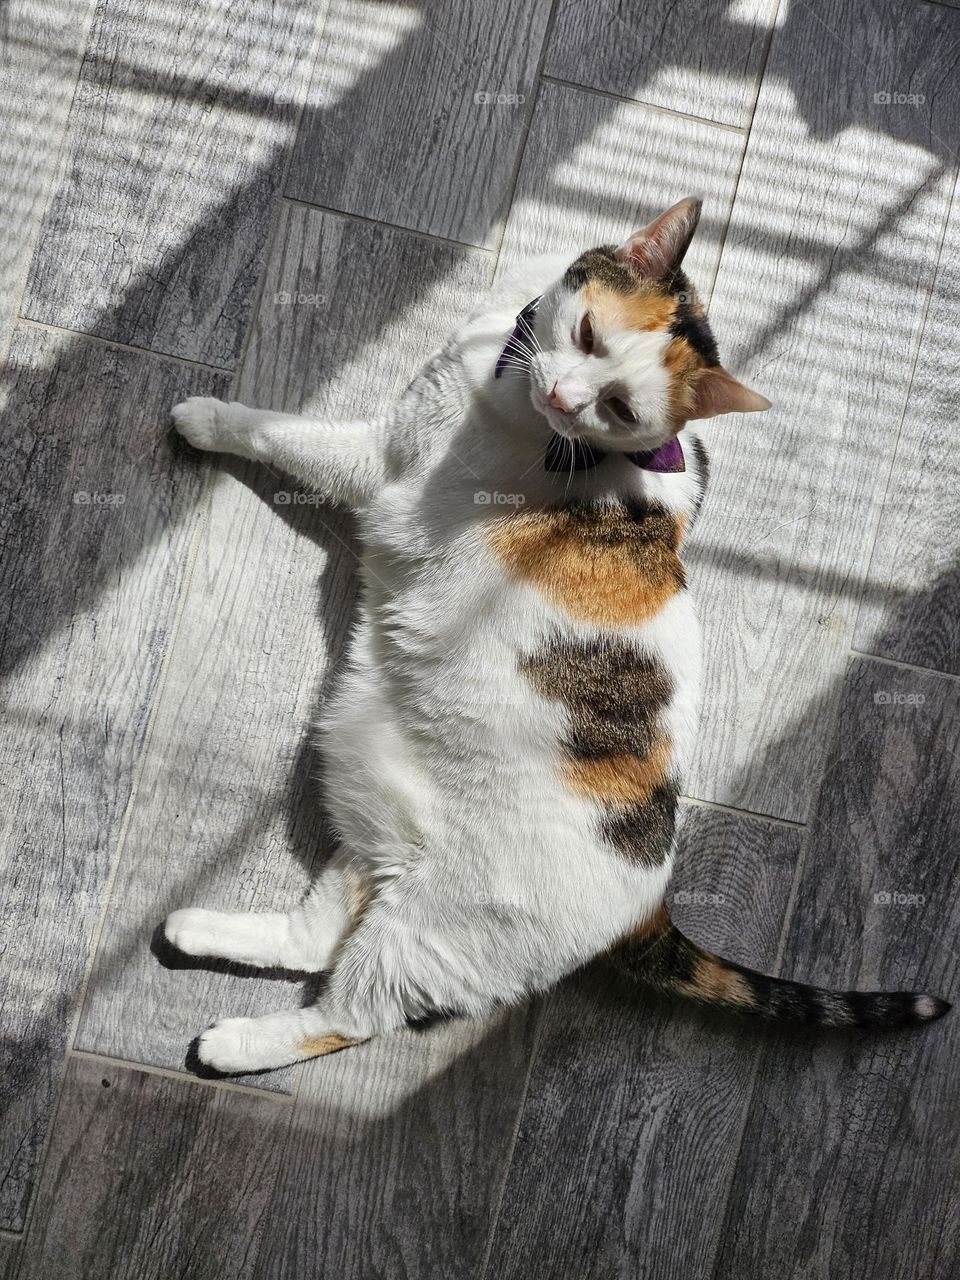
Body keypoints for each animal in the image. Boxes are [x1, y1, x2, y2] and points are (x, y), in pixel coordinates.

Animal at [165, 194, 947, 1075]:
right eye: (588, 335)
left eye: (621, 408)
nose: (567, 399)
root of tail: (651, 905)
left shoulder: (380, 464)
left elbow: (281, 432)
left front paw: (206, 417)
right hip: (366, 777)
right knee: (312, 938)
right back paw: (193, 928)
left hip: (430, 930)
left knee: (347, 1015)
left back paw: (232, 1044)